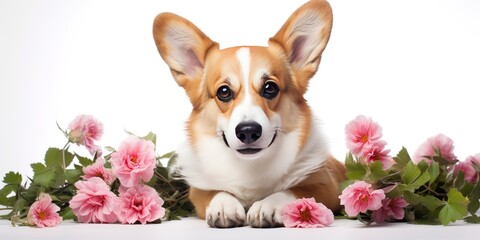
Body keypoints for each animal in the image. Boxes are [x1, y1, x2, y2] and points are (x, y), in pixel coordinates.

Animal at [154, 0, 344, 228]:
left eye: (270, 88)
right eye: (224, 92)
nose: (248, 131)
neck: (250, 168)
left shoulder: (326, 186)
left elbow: (294, 190)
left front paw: (268, 204)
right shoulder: (198, 191)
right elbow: (215, 192)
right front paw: (223, 206)